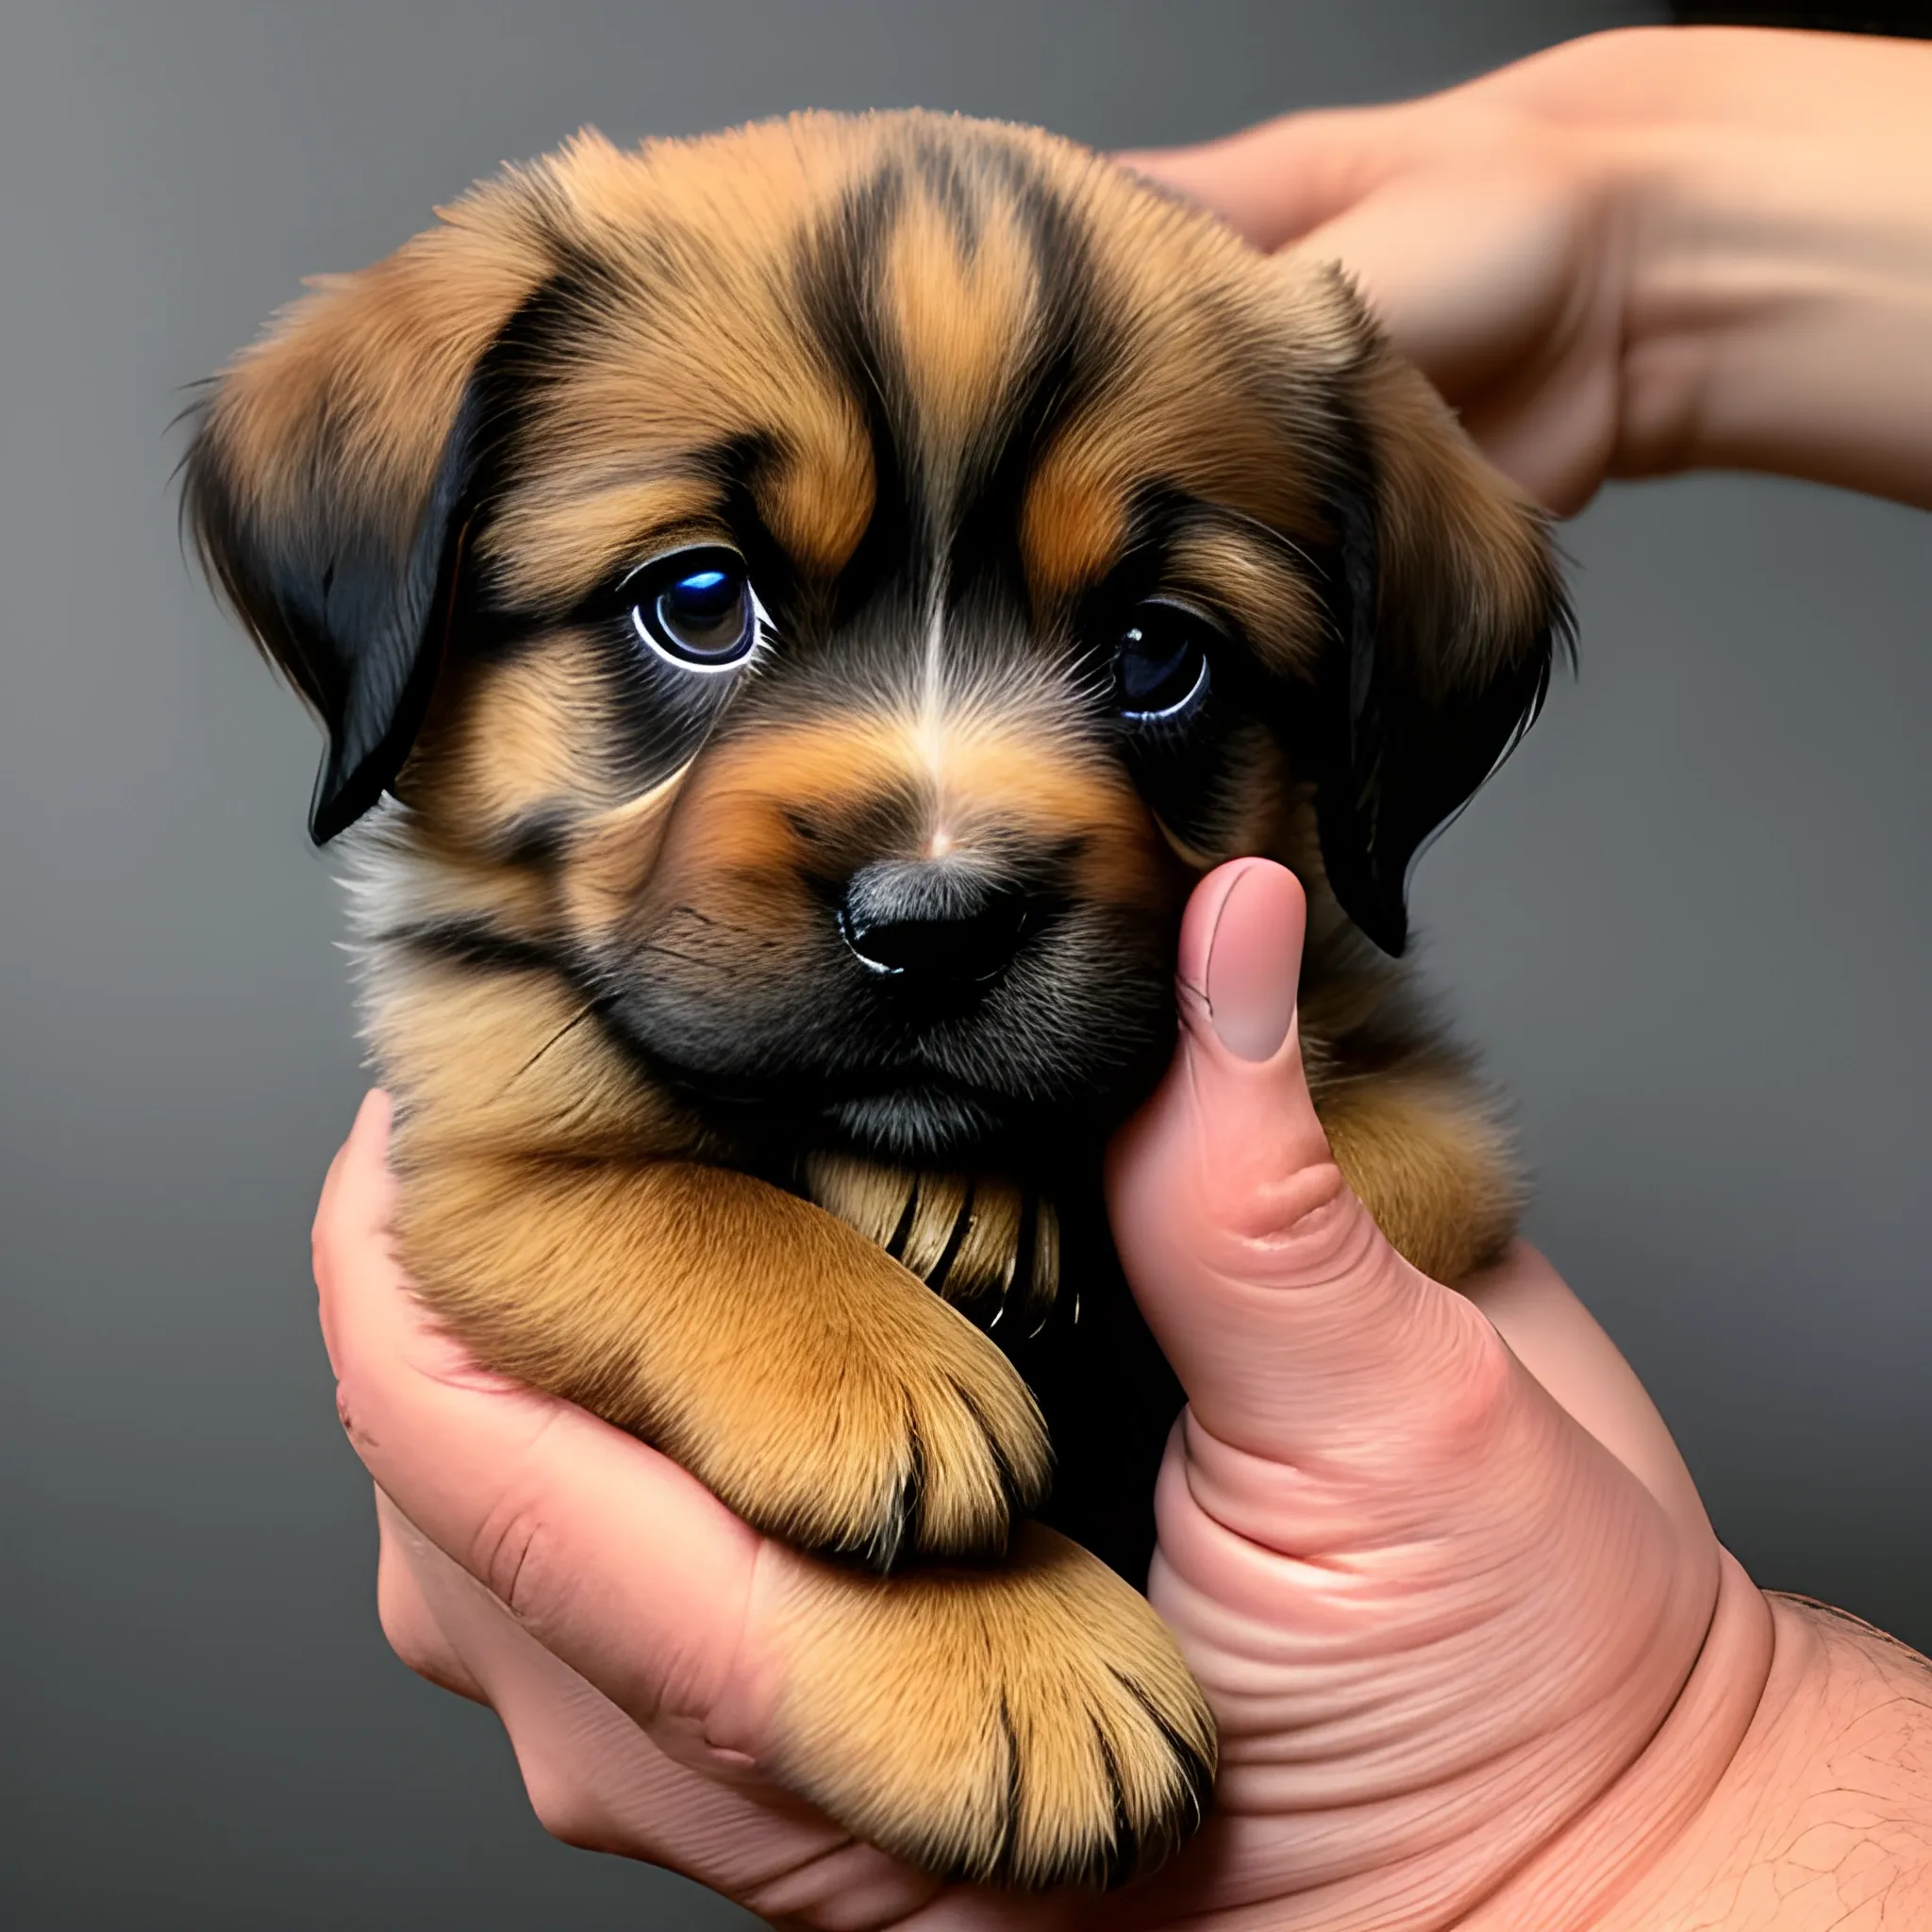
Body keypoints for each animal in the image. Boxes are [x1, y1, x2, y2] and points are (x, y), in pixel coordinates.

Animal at [181, 112, 1568, 1893]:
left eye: (1156, 655)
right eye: (701, 602)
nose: (937, 922)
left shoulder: (1423, 1119)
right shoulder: (482, 1130)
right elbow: (669, 1199)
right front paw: (997, 1635)